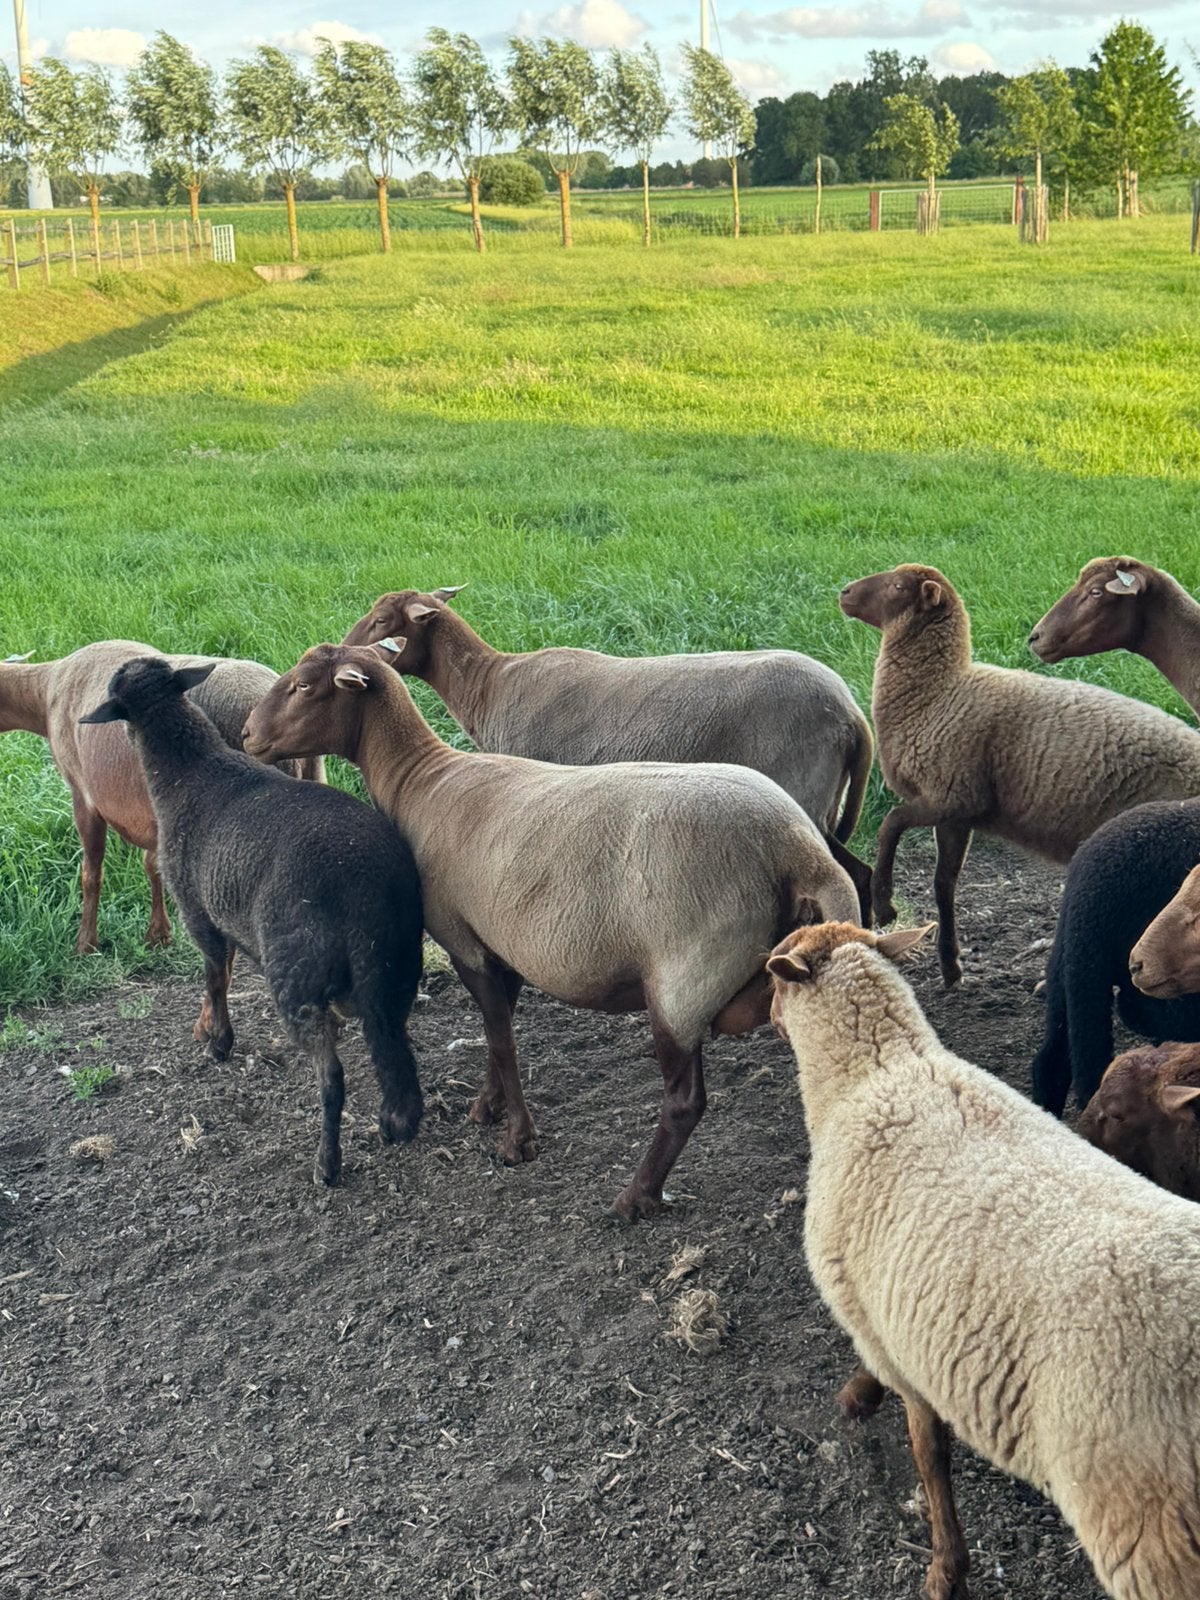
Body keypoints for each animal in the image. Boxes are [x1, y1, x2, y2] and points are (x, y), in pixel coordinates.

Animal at [1, 641, 323, 954]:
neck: (43, 692)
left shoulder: (83, 794)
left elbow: (91, 873)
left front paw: (86, 944)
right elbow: (152, 865)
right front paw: (159, 934)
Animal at [80, 657, 423, 1186]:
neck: (187, 771)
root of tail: (366, 889)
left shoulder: (197, 910)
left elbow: (215, 976)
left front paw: (218, 1043)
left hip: (295, 971)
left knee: (332, 1075)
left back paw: (327, 1165)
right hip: (394, 965)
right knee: (391, 1042)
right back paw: (395, 1123)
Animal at [242, 640, 860, 1219]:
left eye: (303, 685)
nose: (247, 734)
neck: (422, 782)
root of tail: (798, 849)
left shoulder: (464, 939)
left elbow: (501, 1037)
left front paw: (516, 1140)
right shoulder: (501, 943)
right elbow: (499, 1029)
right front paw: (487, 1106)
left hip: (685, 980)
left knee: (684, 1102)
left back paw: (635, 1197)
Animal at [342, 587, 875, 920]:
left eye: (383, 621)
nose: (342, 646)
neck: (488, 685)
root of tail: (852, 714)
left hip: (804, 789)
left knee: (852, 874)